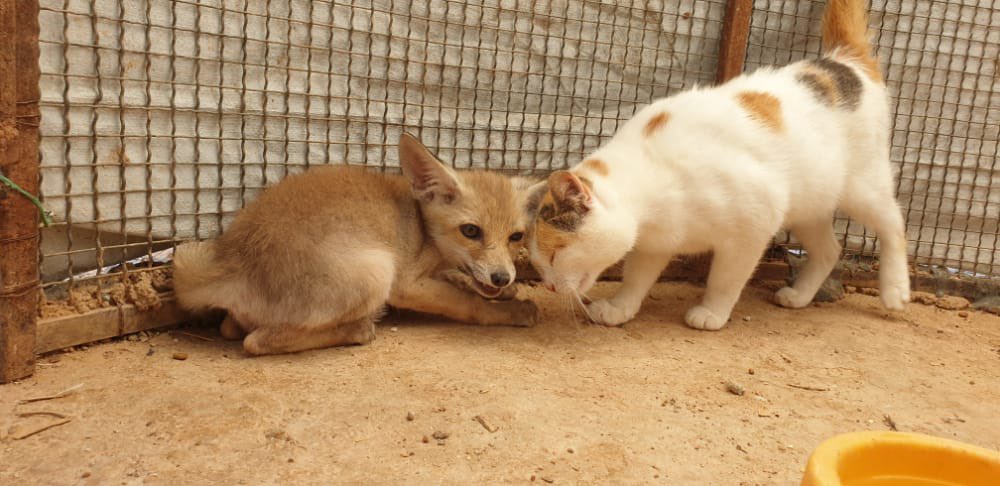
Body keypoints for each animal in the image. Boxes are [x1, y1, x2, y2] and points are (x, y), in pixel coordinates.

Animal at [173, 133, 539, 355]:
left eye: (516, 236)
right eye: (471, 231)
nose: (502, 277)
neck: (423, 229)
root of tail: (233, 259)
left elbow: (462, 281)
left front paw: (505, 292)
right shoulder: (405, 283)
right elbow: (468, 303)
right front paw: (510, 311)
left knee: (231, 328)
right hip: (376, 270)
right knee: (255, 342)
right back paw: (357, 330)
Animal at [525, 0, 909, 330]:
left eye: (556, 254)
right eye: (539, 262)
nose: (549, 286)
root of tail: (844, 60)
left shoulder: (753, 227)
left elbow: (725, 279)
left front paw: (711, 312)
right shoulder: (654, 244)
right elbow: (636, 277)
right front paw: (620, 308)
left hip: (862, 188)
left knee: (893, 223)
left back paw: (895, 289)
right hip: (808, 204)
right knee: (830, 250)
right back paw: (800, 295)